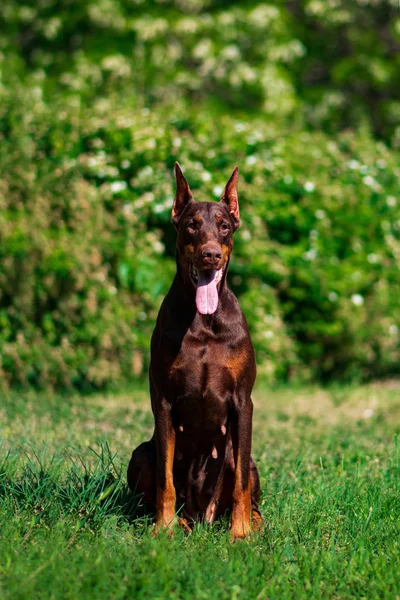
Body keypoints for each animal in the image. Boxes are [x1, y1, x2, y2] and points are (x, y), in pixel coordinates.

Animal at [128, 163, 262, 540]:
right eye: (192, 224)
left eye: (224, 225)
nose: (211, 254)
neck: (204, 322)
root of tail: (204, 515)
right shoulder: (163, 400)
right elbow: (165, 479)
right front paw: (163, 528)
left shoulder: (243, 401)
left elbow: (241, 484)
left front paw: (240, 533)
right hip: (141, 453)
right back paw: (179, 522)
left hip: (247, 461)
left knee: (247, 481)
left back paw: (253, 522)